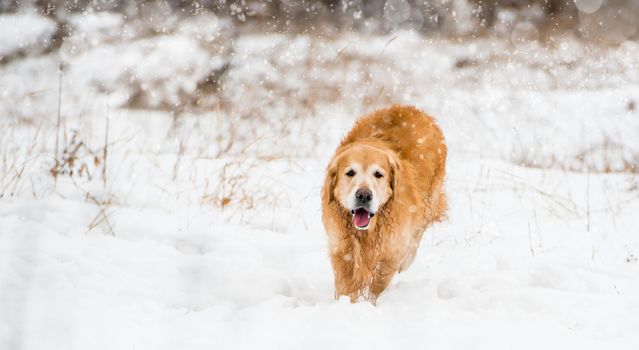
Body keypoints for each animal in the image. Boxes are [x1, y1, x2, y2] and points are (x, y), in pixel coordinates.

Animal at [322, 104, 448, 304]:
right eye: (350, 172)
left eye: (378, 174)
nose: (364, 195)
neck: (367, 232)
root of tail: (416, 109)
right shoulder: (341, 249)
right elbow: (345, 284)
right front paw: (346, 305)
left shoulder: (391, 252)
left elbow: (378, 284)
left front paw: (371, 305)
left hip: (429, 200)